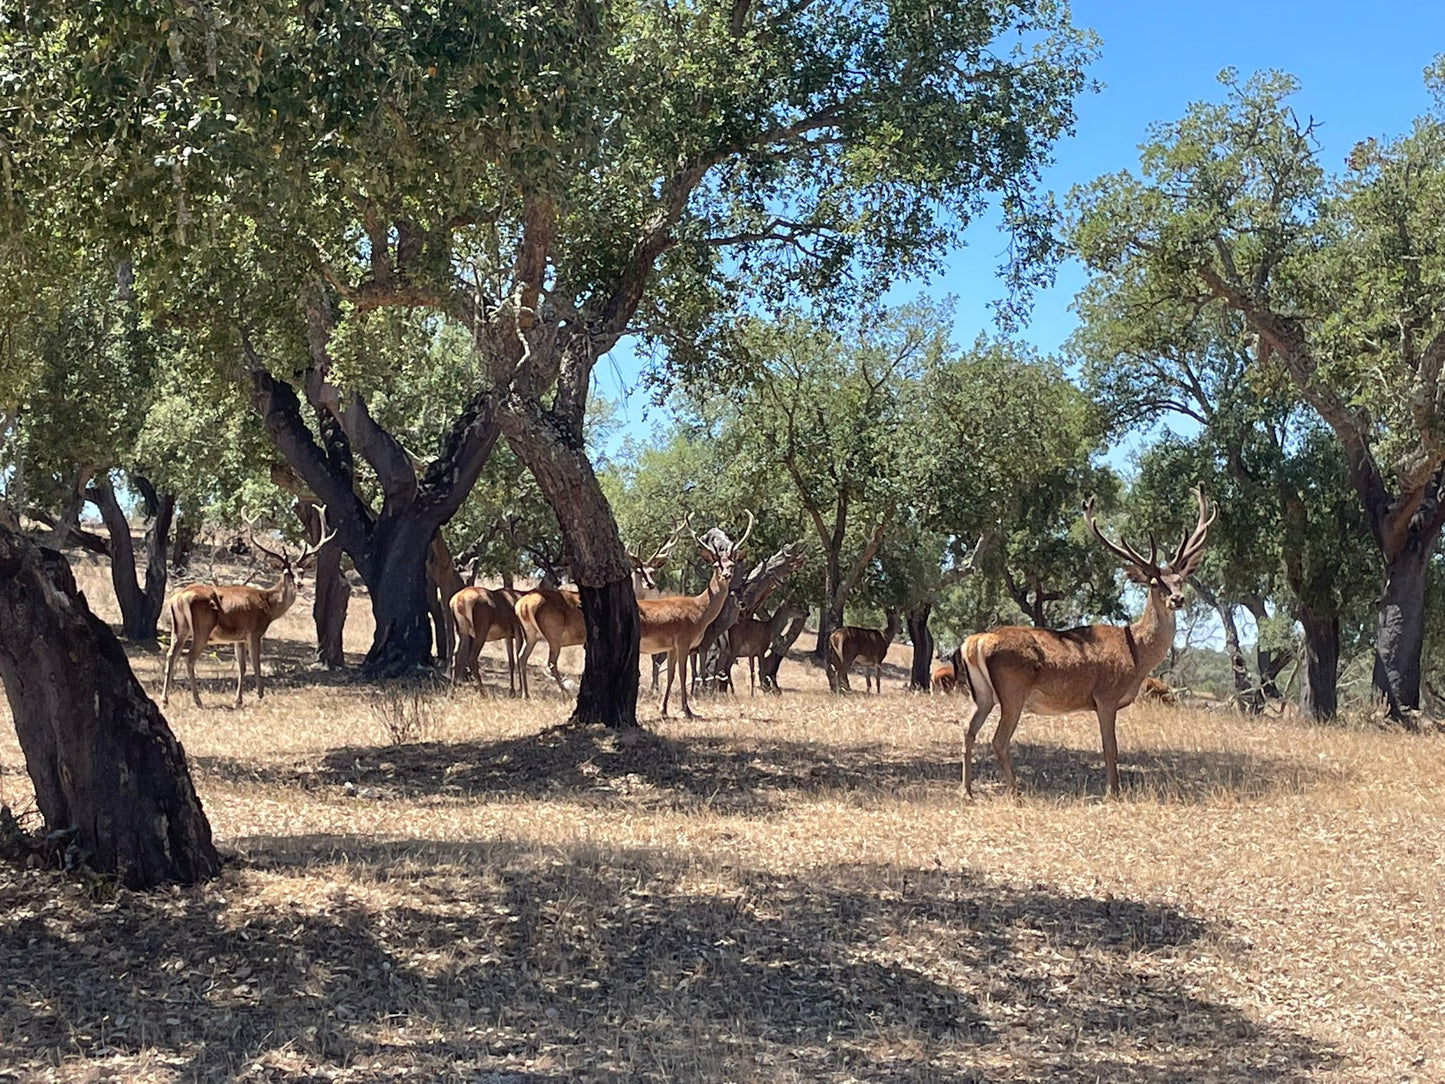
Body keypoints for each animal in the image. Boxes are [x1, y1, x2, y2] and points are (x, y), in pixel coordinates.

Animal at [162, 511, 336, 713]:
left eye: (301, 571)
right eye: (287, 573)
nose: (299, 584)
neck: (269, 605)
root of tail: (180, 597)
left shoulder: (239, 638)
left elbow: (242, 667)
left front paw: (238, 700)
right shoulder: (255, 631)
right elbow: (256, 663)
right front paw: (260, 696)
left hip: (179, 628)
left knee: (171, 655)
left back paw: (165, 700)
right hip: (203, 628)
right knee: (189, 658)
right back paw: (197, 701)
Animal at [644, 514, 757, 716]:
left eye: (731, 564)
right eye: (716, 564)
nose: (727, 575)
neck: (700, 613)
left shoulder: (682, 647)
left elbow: (678, 674)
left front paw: (664, 709)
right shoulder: (688, 643)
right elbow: (688, 674)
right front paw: (688, 707)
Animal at [959, 488, 1219, 803]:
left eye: (1181, 579)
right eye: (1155, 583)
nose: (1177, 599)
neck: (1137, 655)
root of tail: (975, 642)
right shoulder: (1106, 695)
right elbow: (1111, 747)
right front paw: (1113, 792)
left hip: (983, 695)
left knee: (968, 729)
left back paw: (968, 791)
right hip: (1013, 690)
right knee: (998, 739)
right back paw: (1015, 792)